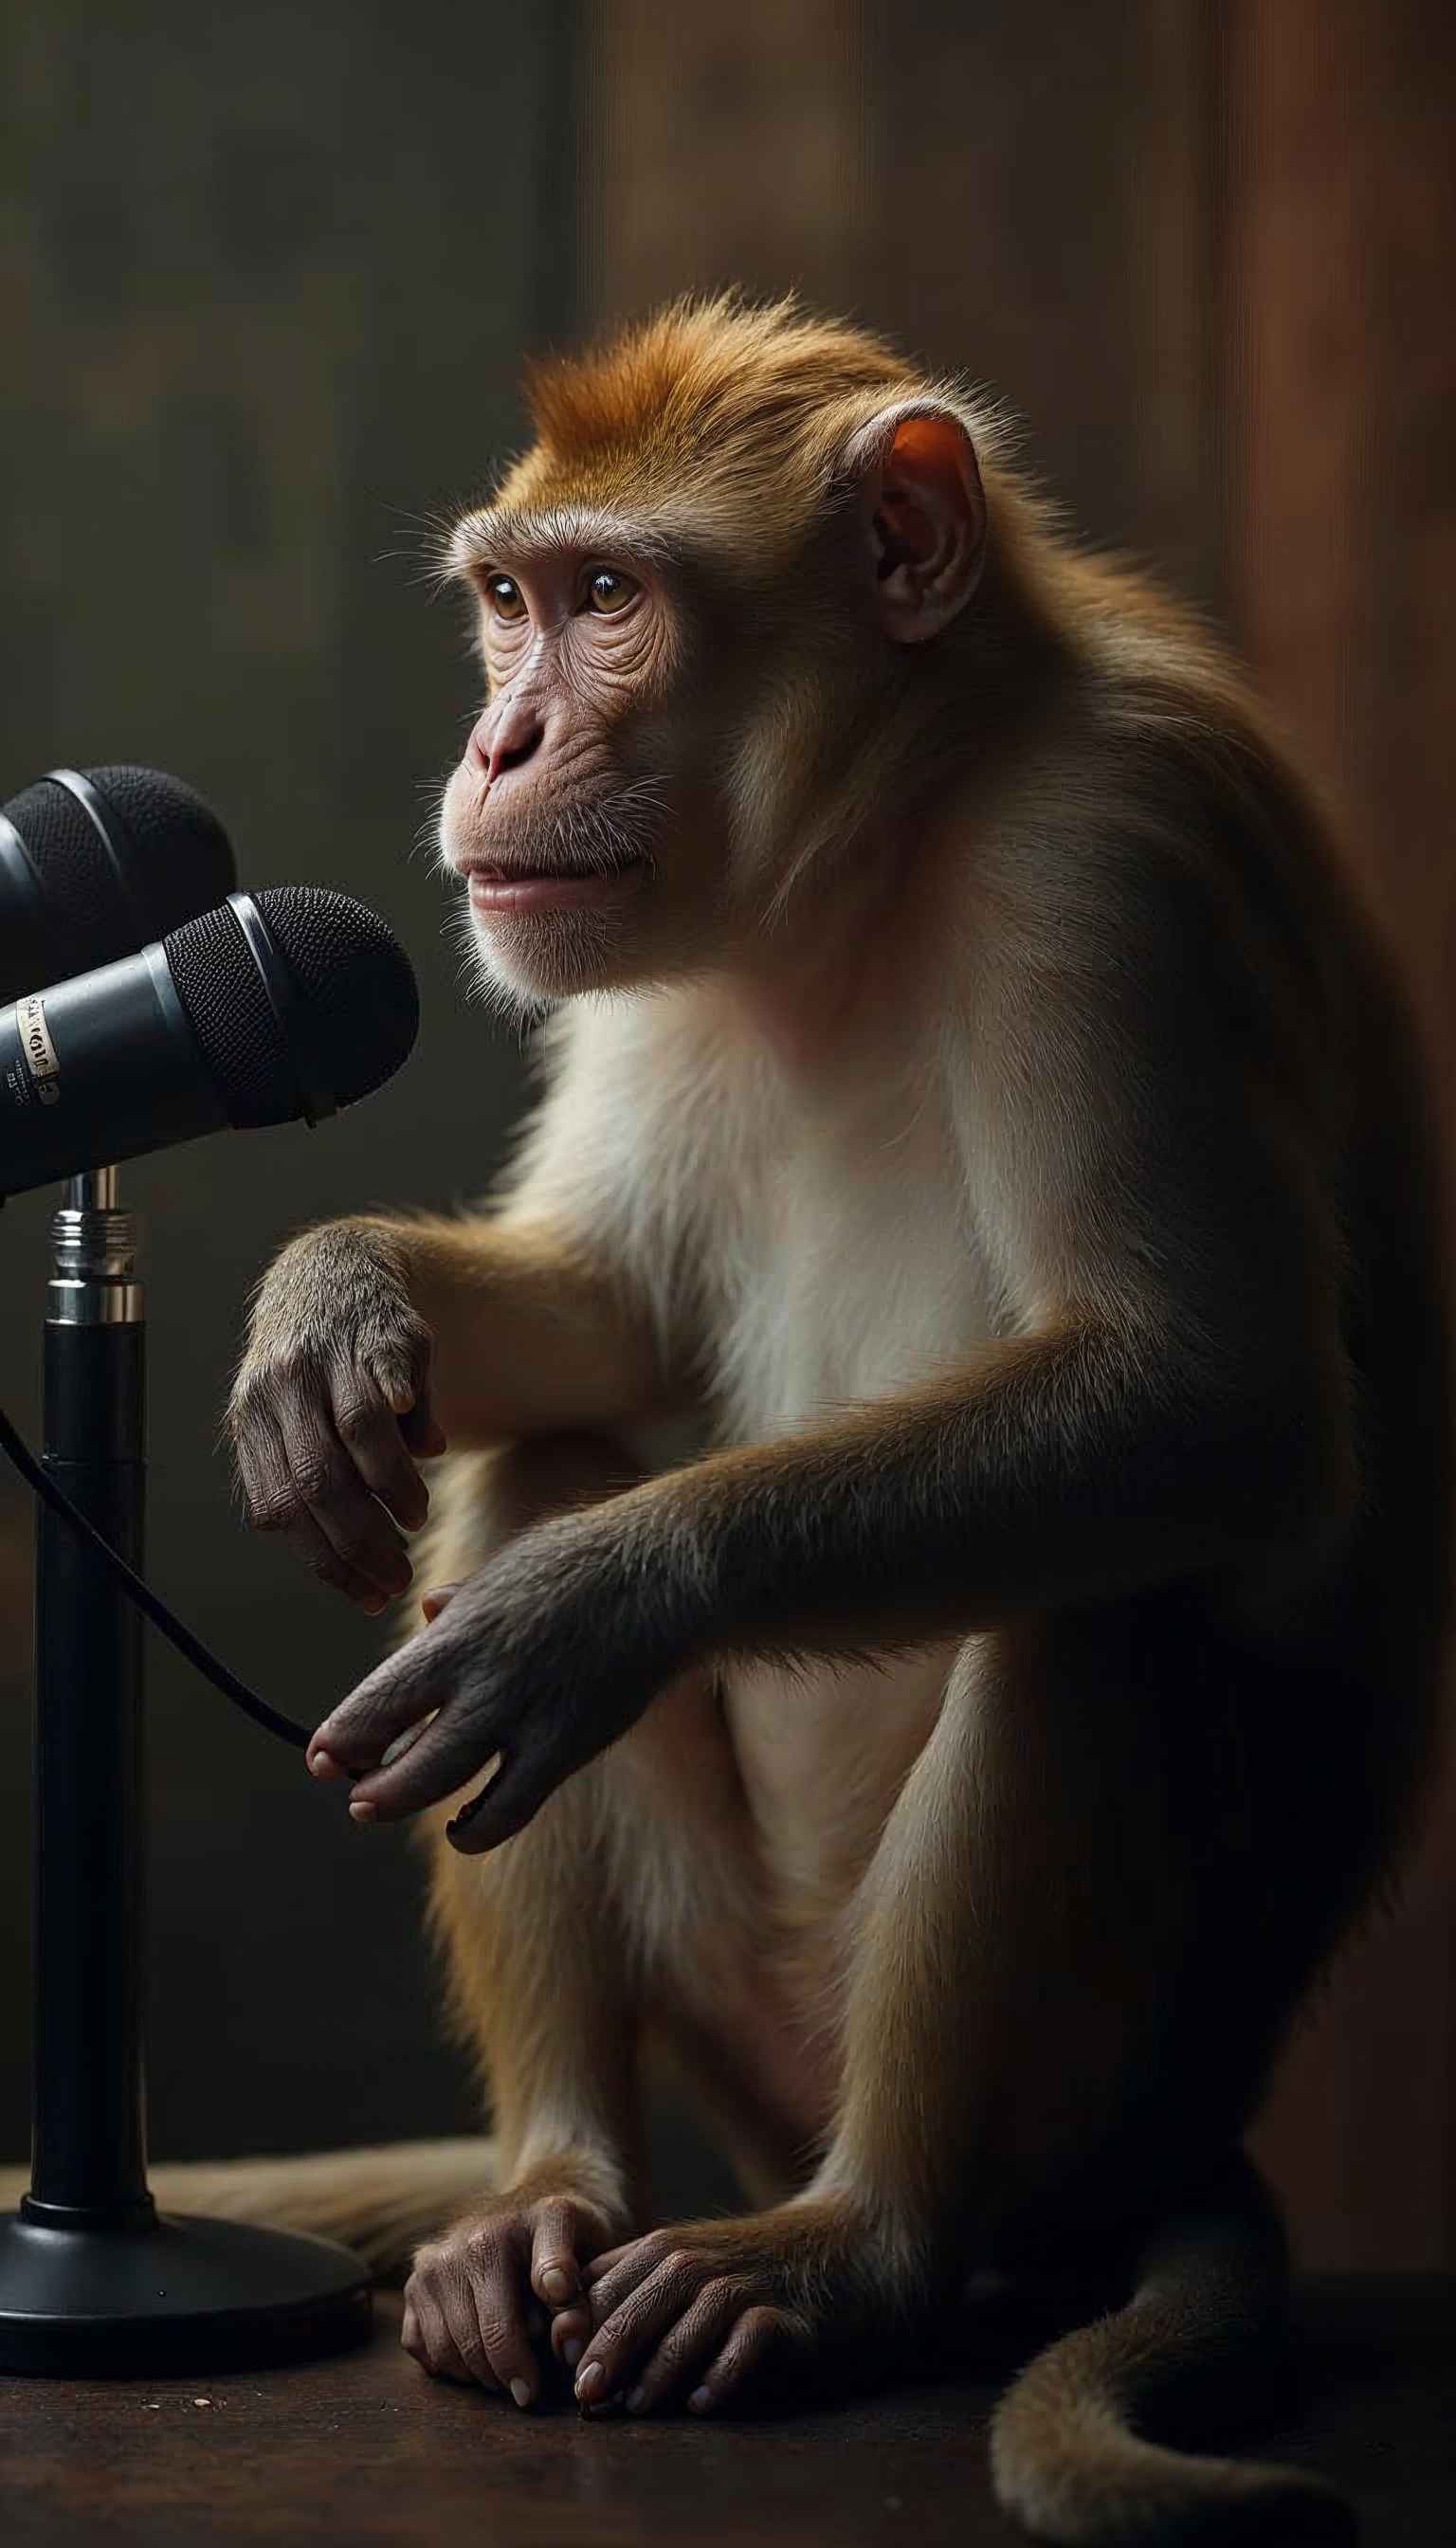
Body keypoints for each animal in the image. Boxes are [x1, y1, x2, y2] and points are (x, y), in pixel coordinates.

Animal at [104, 295, 1453, 2541]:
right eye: (507, 605)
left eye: (610, 602)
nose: (500, 745)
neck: (887, 841)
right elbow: (613, 1327)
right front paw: (336, 1295)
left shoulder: (1118, 854)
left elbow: (1212, 1401)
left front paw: (604, 1597)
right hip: (734, 2011)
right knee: (527, 1459)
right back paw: (551, 2187)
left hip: (1087, 2088)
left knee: (1090, 1599)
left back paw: (862, 2249)